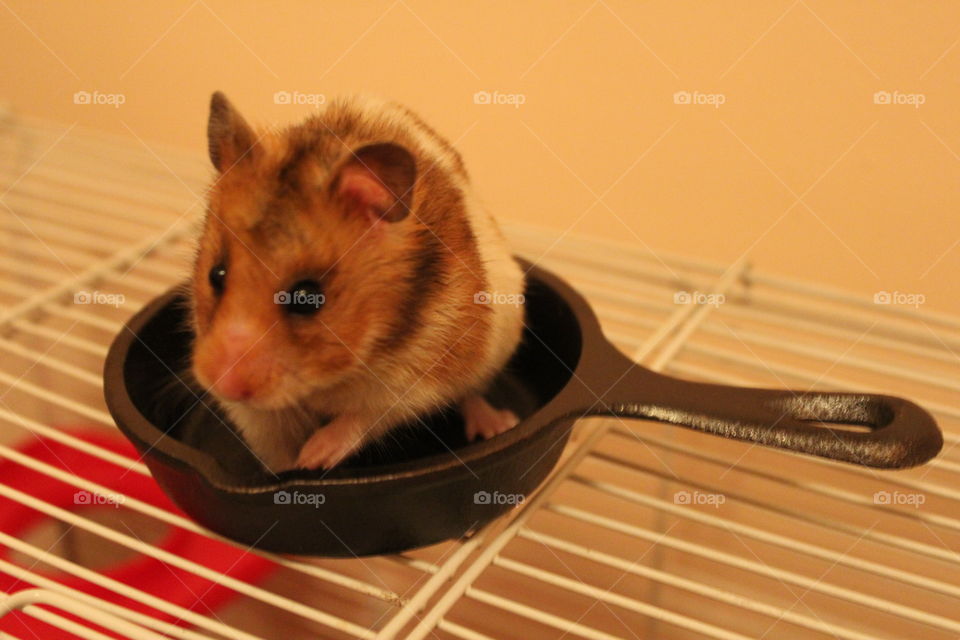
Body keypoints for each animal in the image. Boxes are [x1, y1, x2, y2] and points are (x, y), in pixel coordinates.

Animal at [189, 92, 525, 473]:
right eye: (216, 274)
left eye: (307, 297)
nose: (222, 384)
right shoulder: (257, 416)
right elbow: (275, 441)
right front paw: (289, 471)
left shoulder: (417, 377)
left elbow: (364, 417)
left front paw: (313, 458)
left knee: (471, 394)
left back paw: (498, 425)